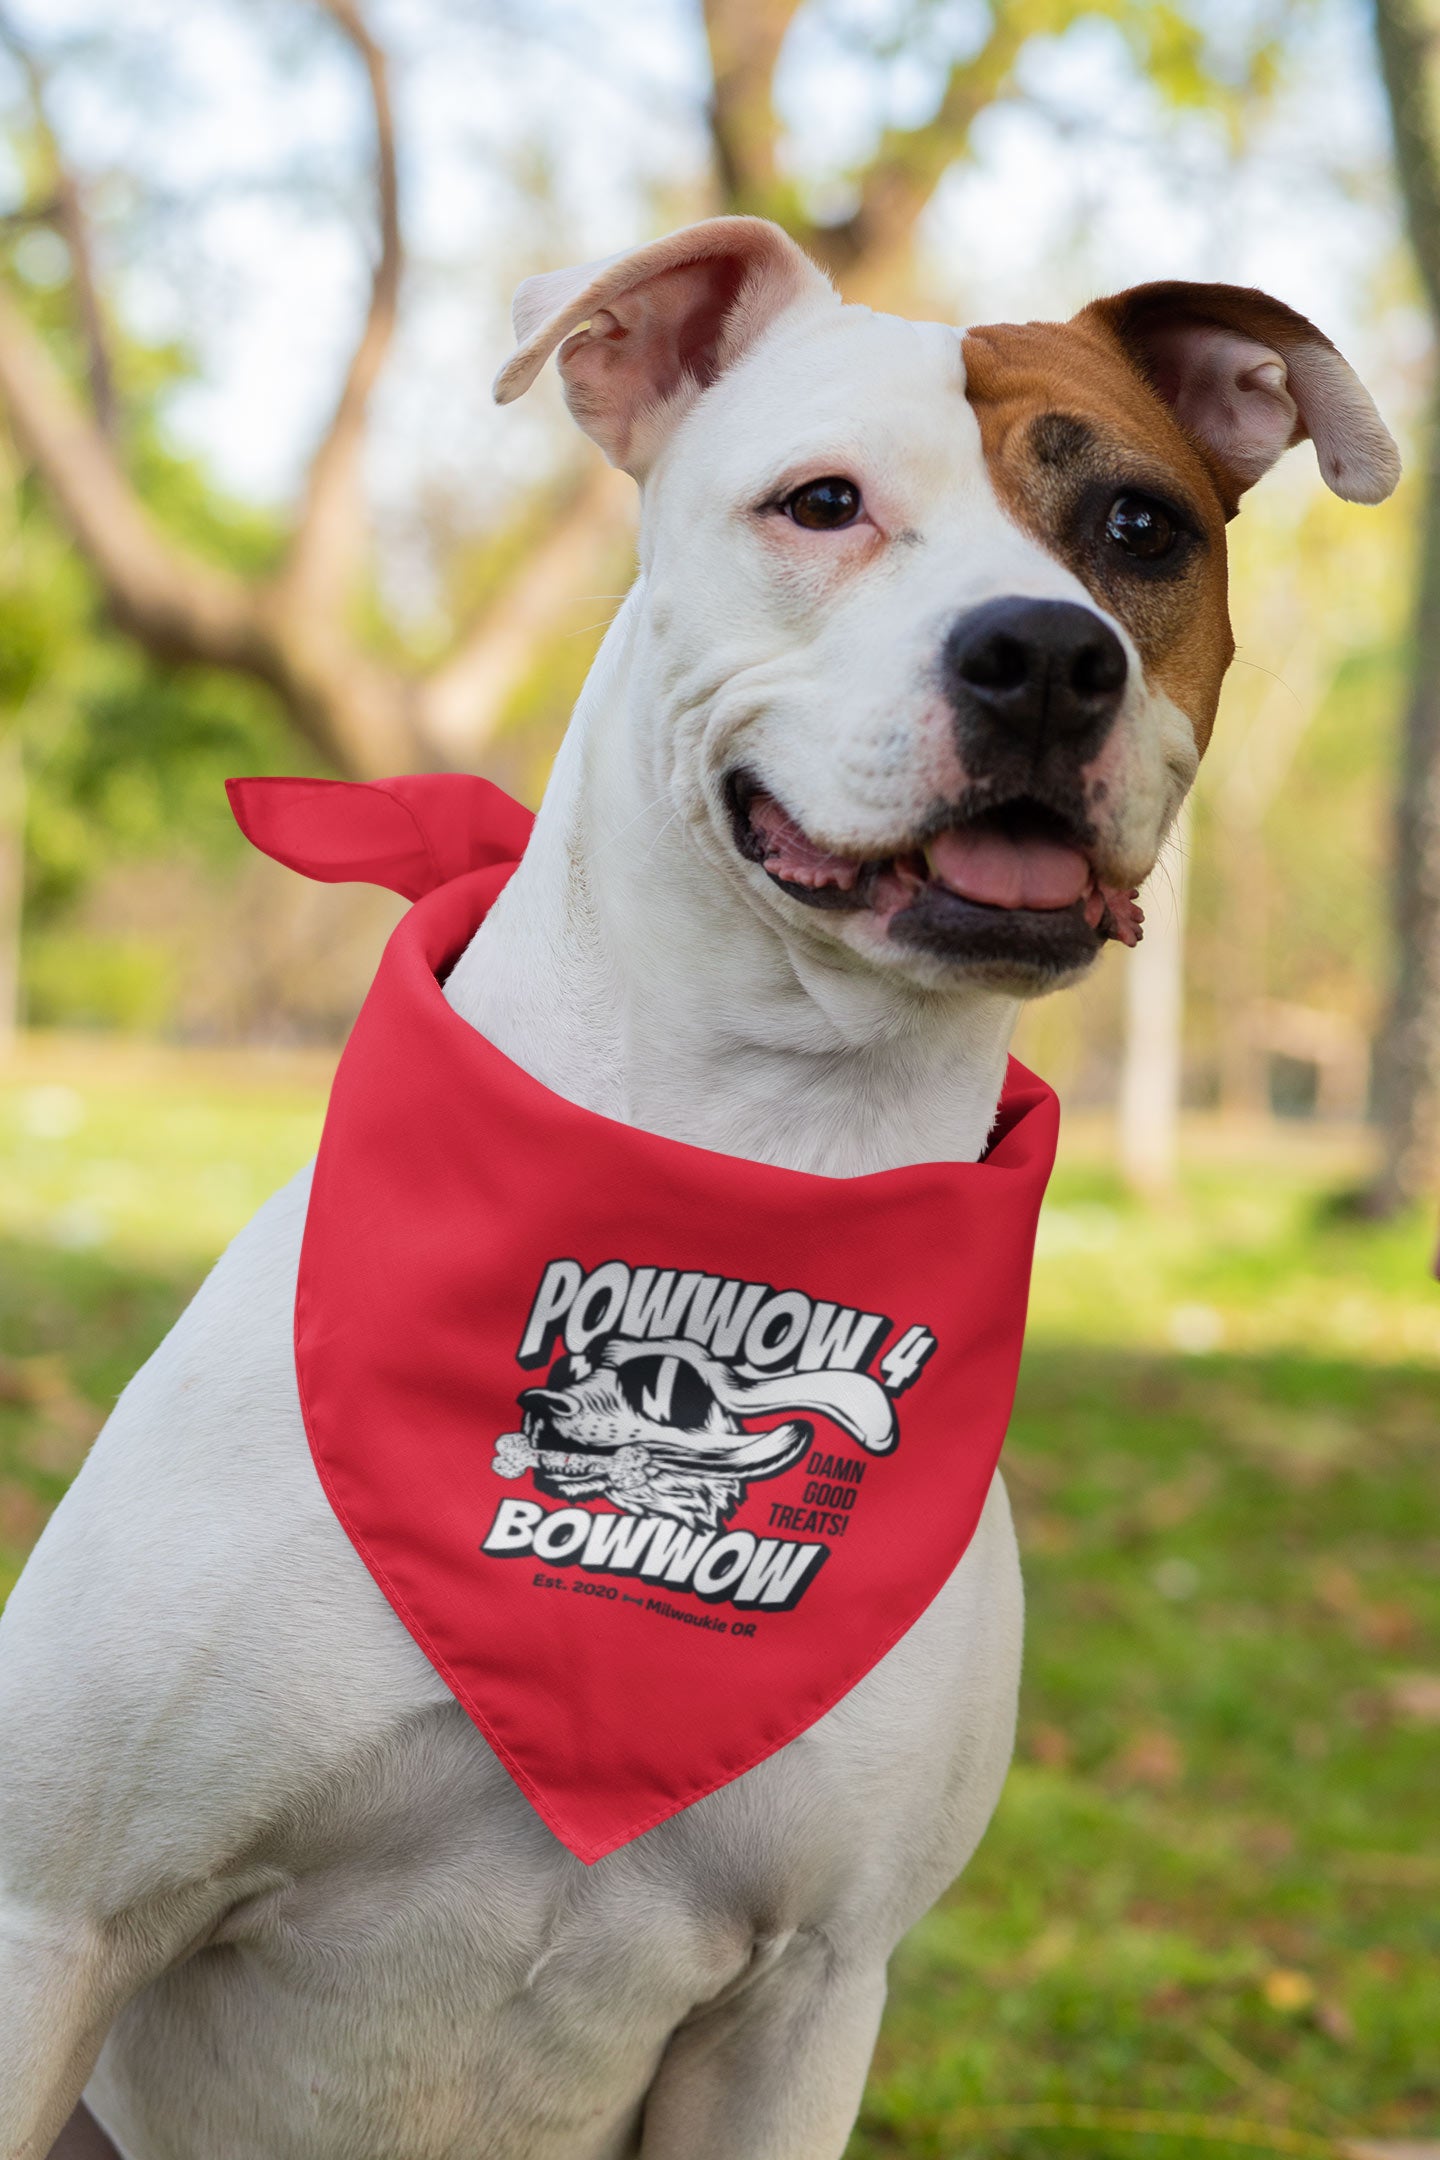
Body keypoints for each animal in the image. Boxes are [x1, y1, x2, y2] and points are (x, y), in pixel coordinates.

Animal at [0, 206, 1398, 2160]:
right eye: (820, 503)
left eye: (1139, 530)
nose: (1049, 656)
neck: (754, 1155)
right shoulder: (58, 1917)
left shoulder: (807, 1995)